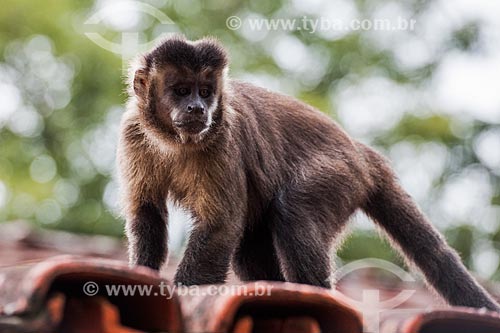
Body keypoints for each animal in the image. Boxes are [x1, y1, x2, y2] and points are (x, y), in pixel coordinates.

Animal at [118, 35, 500, 310]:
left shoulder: (222, 136)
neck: (173, 141)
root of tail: (361, 152)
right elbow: (147, 213)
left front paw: (185, 292)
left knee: (295, 209)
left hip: (340, 174)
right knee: (251, 241)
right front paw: (143, 277)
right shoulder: (133, 131)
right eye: (182, 90)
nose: (198, 108)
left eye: (206, 92)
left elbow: (220, 226)